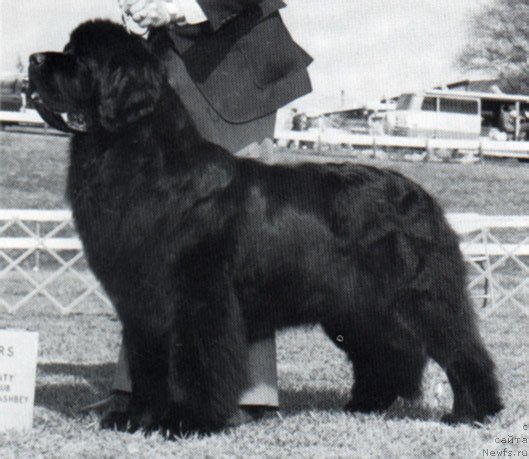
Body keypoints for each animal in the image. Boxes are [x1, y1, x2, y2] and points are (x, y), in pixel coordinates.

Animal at [28, 20, 500, 434]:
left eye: (77, 58)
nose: (33, 59)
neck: (135, 156)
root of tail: (421, 195)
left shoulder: (200, 297)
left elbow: (198, 361)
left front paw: (189, 421)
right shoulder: (141, 299)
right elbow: (147, 364)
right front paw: (135, 418)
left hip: (421, 295)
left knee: (462, 349)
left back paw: (474, 413)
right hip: (356, 306)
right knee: (388, 351)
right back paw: (364, 405)